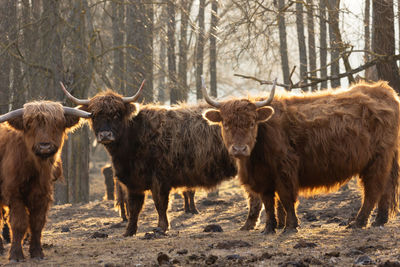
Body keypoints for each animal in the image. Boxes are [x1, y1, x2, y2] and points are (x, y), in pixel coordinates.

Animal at [0, 101, 90, 260]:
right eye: (29, 124)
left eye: (57, 123)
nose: (44, 146)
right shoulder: (14, 193)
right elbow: (19, 223)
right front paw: (16, 255)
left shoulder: (42, 194)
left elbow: (37, 223)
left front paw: (37, 252)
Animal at [60, 83, 262, 237]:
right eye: (94, 116)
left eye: (117, 114)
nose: (105, 135)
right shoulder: (132, 182)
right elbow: (134, 207)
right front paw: (129, 231)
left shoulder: (159, 179)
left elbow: (160, 204)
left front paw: (161, 228)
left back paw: (249, 224)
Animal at [203, 79, 400, 234]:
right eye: (226, 124)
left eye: (252, 123)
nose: (239, 149)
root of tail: (385, 91)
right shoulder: (264, 177)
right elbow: (268, 202)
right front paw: (269, 228)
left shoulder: (285, 169)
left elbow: (286, 198)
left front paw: (290, 226)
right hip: (386, 160)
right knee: (386, 188)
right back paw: (379, 221)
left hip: (377, 160)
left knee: (373, 190)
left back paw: (358, 222)